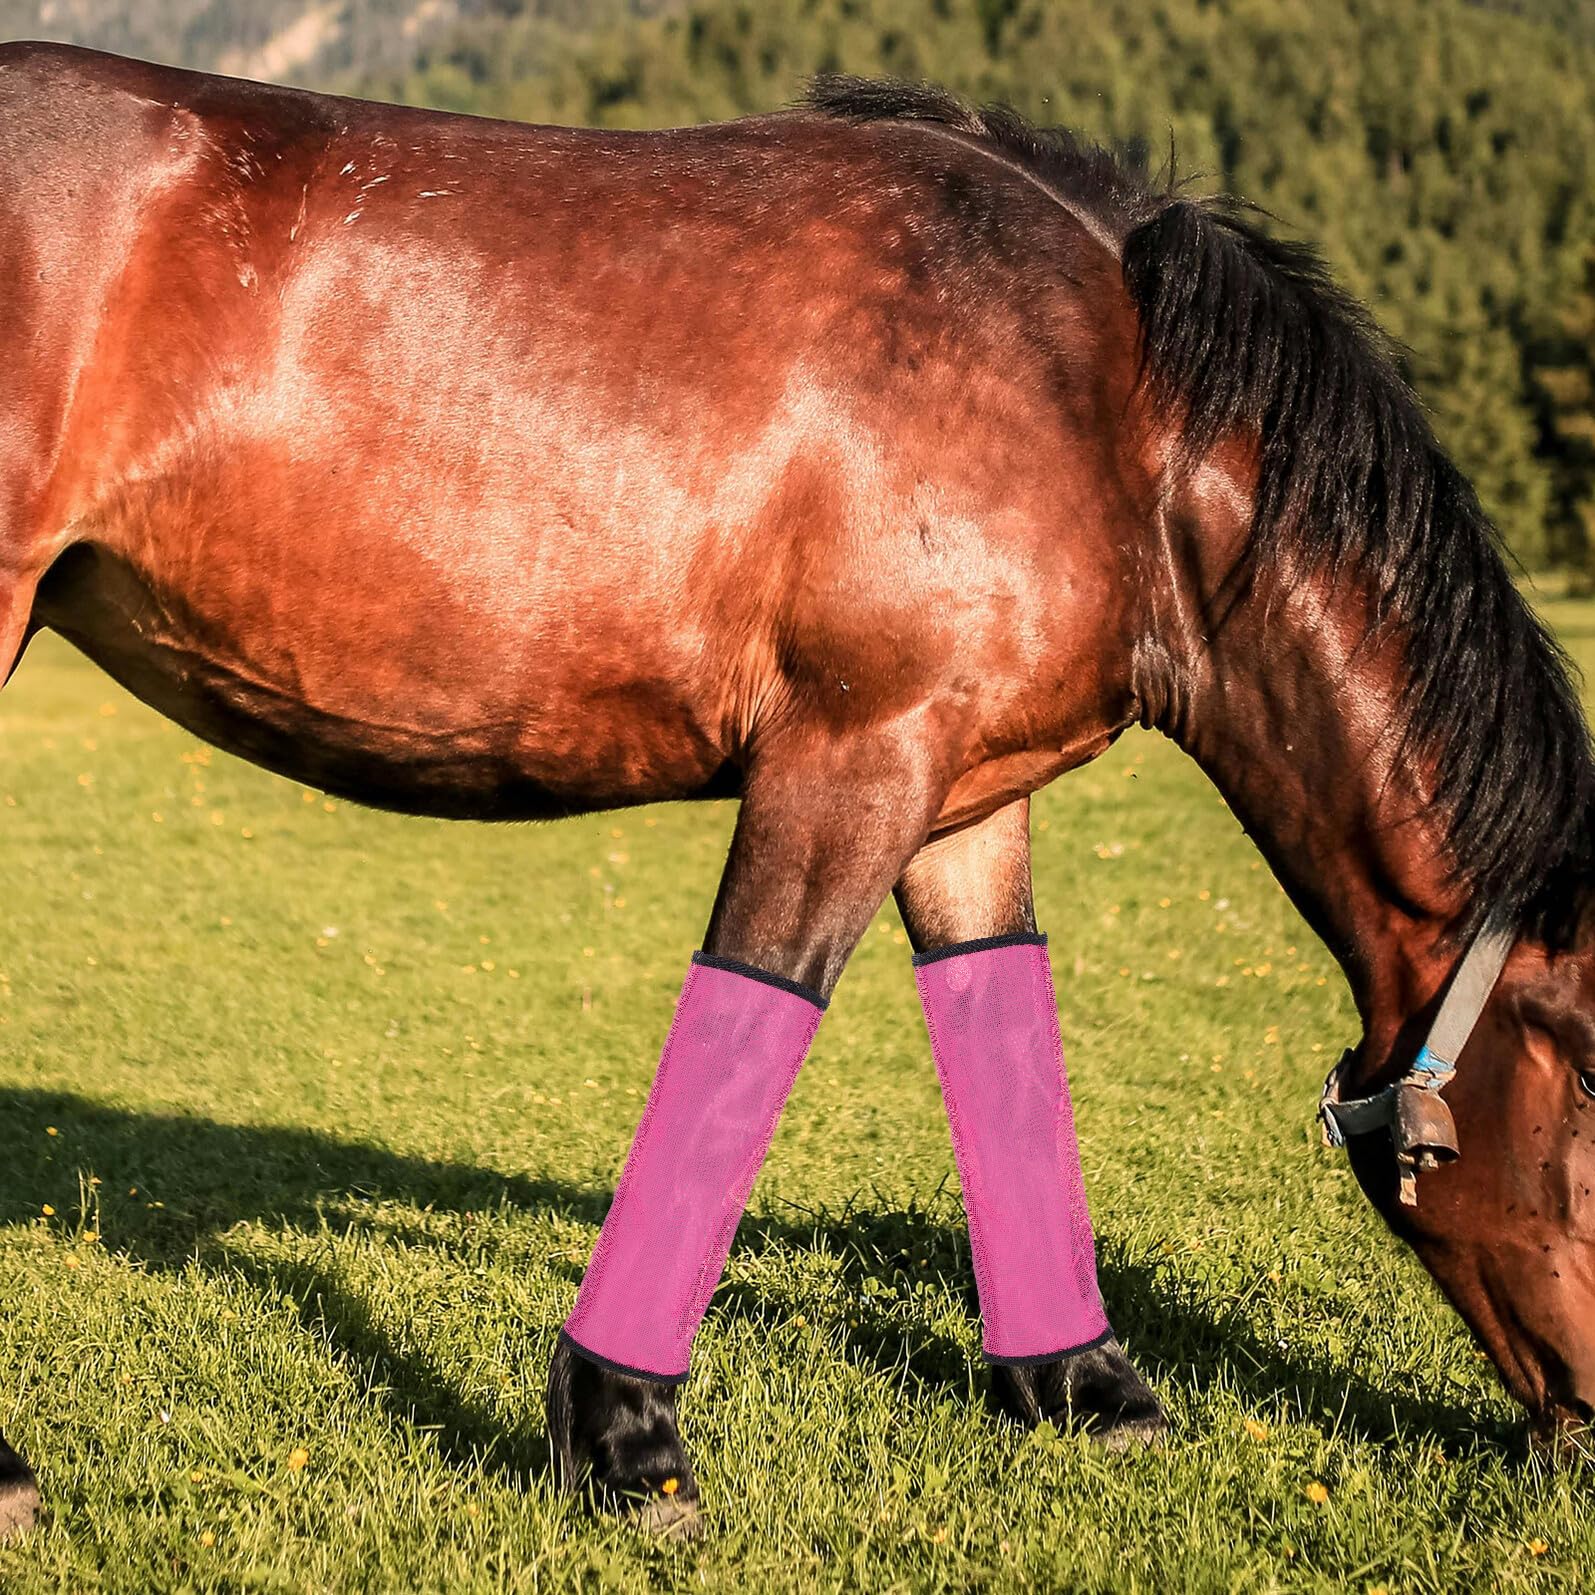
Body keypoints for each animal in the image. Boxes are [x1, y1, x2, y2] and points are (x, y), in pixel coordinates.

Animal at [0, 43, 1591, 1540]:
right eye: (1584, 1074)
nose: (1582, 1422)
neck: (1105, 399)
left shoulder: (964, 793)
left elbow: (999, 1025)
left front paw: (1077, 1381)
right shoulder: (850, 753)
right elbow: (749, 1024)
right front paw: (623, 1435)